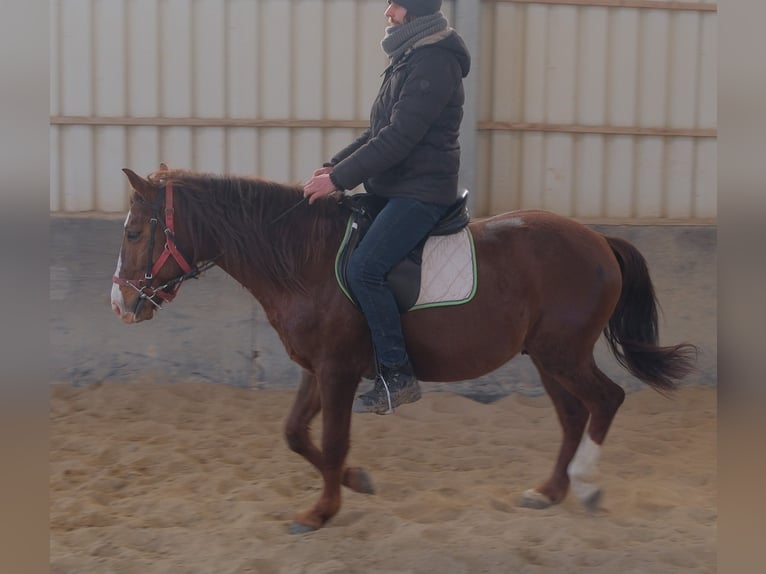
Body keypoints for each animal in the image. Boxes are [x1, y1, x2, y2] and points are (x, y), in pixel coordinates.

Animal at [110, 165, 697, 534]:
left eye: (136, 232)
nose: (121, 304)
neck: (305, 258)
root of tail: (598, 241)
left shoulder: (338, 372)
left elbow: (333, 440)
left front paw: (321, 511)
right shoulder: (316, 370)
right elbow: (297, 434)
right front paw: (355, 482)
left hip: (563, 354)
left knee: (606, 401)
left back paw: (587, 487)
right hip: (548, 357)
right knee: (575, 415)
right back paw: (549, 491)